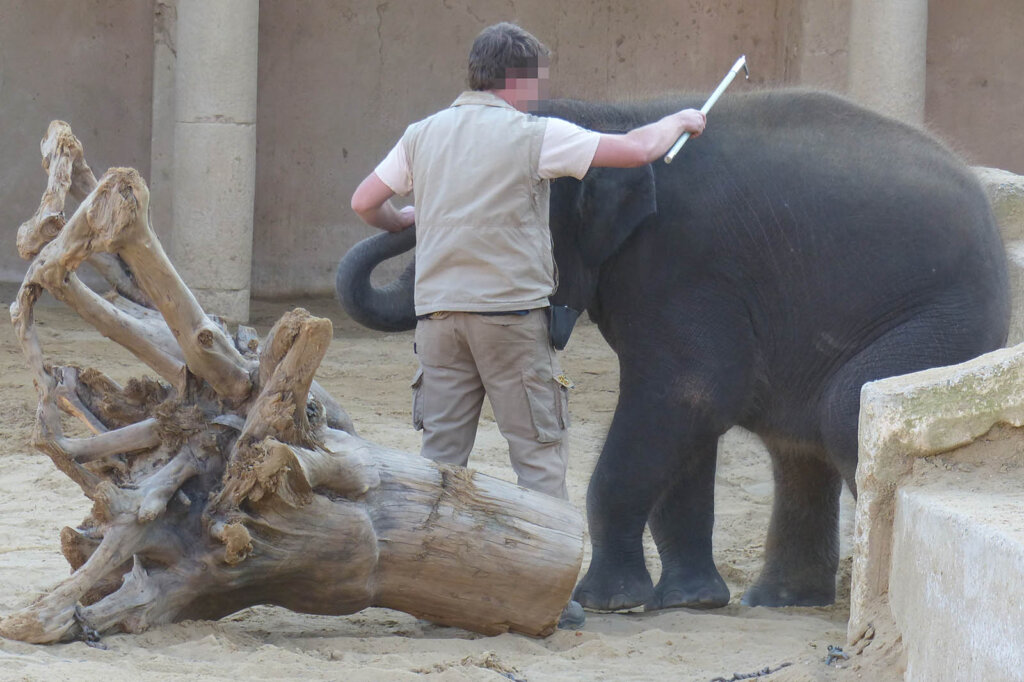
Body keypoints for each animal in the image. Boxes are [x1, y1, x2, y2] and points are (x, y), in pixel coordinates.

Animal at [337, 89, 1007, 610]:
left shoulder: (682, 262)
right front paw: (690, 601)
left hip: (945, 322)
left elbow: (692, 393)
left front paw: (606, 603)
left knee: (845, 413)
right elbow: (689, 418)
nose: (397, 205)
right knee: (799, 444)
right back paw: (778, 602)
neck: (608, 115)